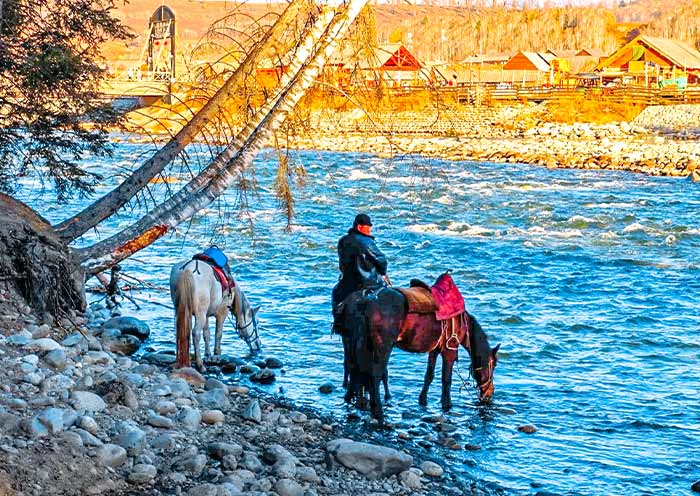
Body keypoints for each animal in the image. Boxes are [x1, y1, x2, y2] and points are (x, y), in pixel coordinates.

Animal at [340, 282, 498, 422]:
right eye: (494, 364)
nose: (489, 393)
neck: (461, 322)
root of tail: (367, 301)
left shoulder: (434, 350)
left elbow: (429, 376)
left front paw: (422, 400)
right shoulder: (449, 351)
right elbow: (446, 379)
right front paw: (447, 405)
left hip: (360, 345)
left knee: (356, 369)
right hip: (382, 348)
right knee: (375, 375)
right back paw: (378, 411)